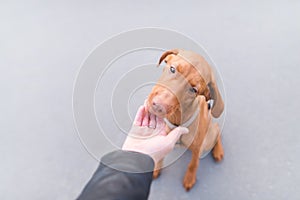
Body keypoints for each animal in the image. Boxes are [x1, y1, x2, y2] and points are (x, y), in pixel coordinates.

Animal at [145, 48, 225, 191]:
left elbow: (193, 164)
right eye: (172, 69)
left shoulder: (197, 148)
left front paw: (189, 178)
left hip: (207, 139)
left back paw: (218, 150)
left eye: (193, 89)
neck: (178, 119)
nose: (158, 106)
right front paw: (156, 169)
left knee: (217, 131)